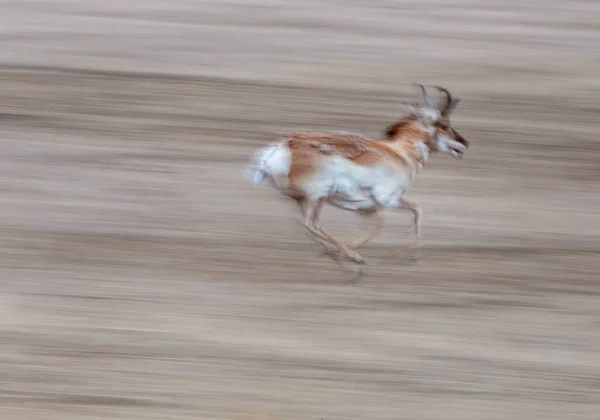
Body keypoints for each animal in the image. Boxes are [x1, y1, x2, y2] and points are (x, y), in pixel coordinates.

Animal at [247, 84, 468, 272]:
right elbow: (398, 218)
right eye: (445, 125)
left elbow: (409, 213)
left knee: (307, 226)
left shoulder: (369, 207)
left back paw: (340, 257)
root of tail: (282, 146)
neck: (399, 152)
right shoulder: (387, 199)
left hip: (302, 200)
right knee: (312, 225)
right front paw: (409, 256)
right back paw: (353, 259)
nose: (465, 144)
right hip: (317, 197)